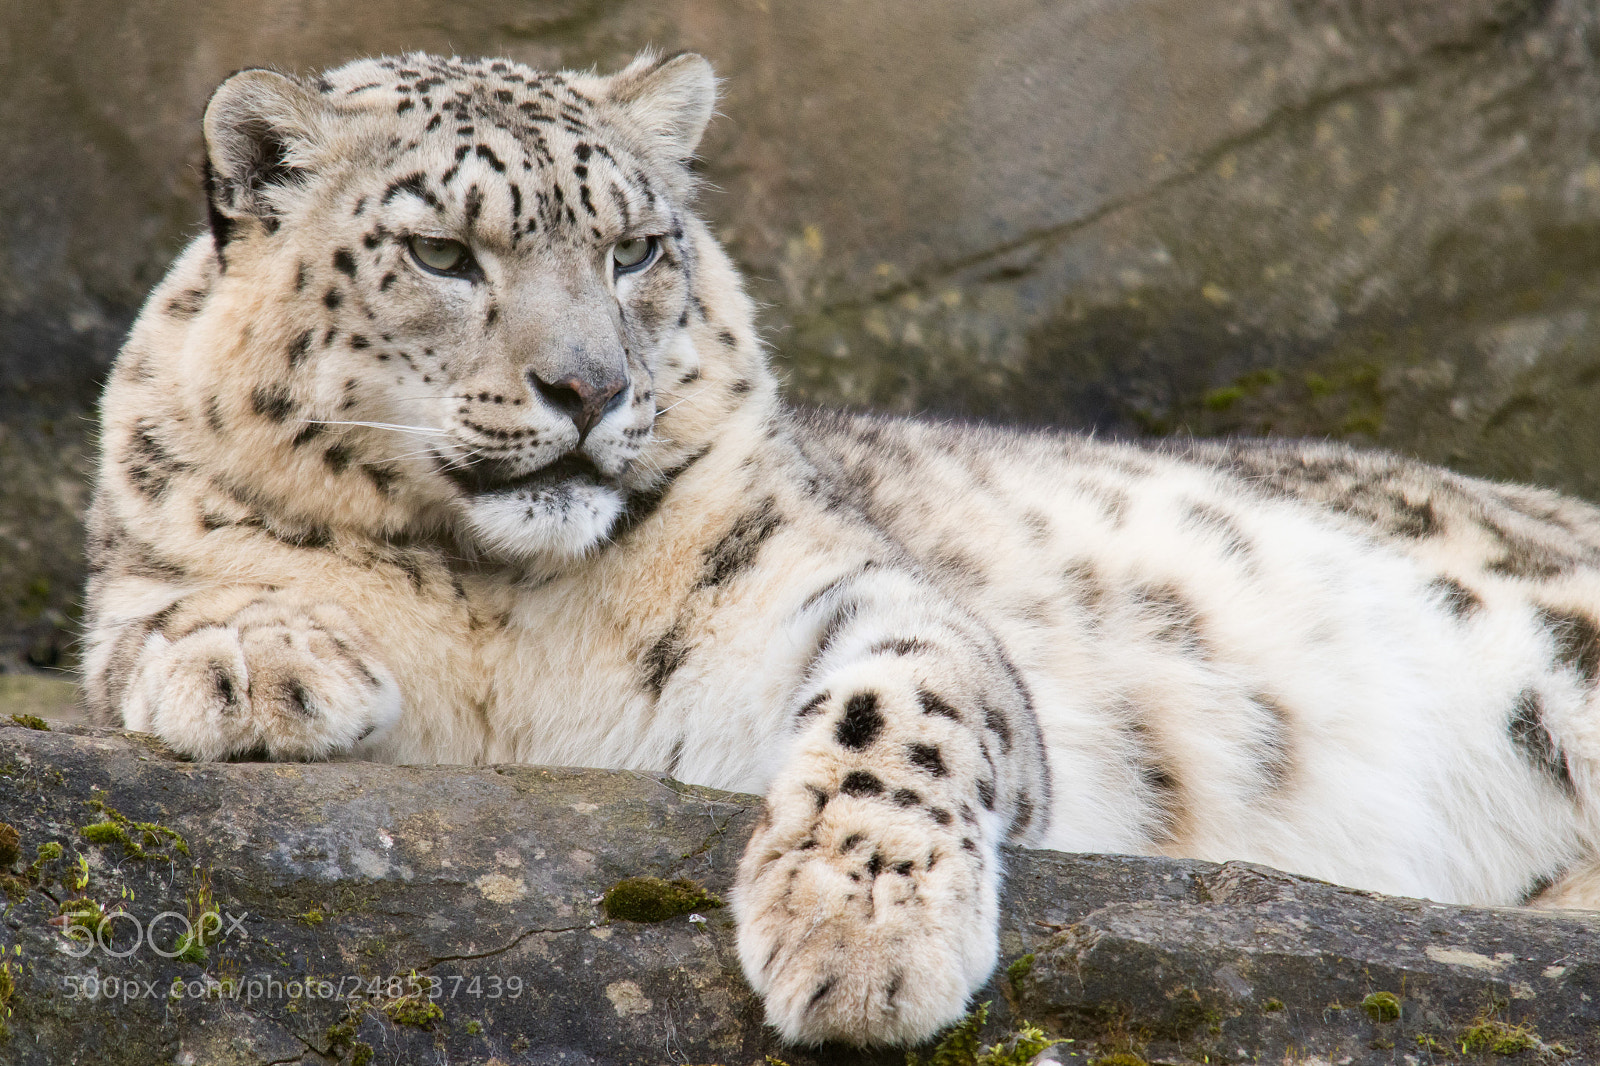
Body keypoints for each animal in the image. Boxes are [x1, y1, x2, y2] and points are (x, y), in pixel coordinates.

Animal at [82, 49, 1600, 1047]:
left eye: (637, 249)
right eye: (444, 255)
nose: (590, 388)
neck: (499, 607)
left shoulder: (835, 587)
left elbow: (906, 700)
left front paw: (860, 933)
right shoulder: (140, 567)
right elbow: (143, 623)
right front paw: (257, 660)